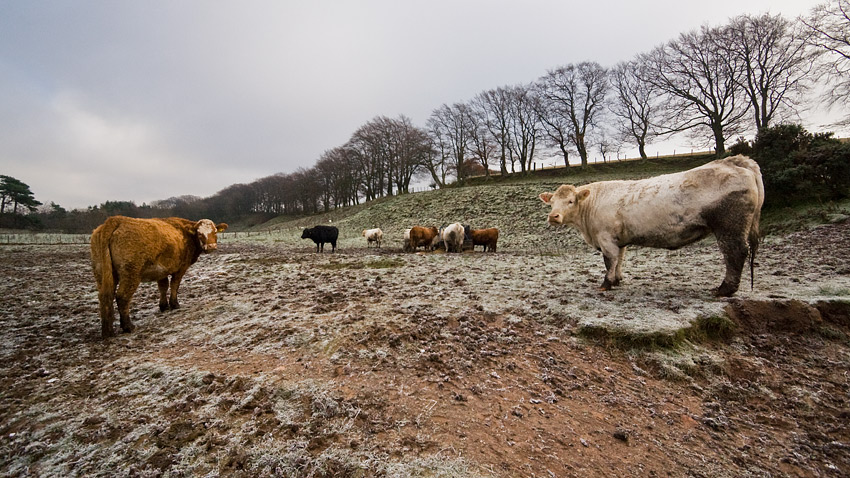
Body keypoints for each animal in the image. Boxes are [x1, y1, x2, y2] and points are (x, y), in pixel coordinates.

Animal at [89, 215, 225, 338]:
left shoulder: (161, 271)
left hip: (102, 273)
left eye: (215, 232)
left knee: (105, 296)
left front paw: (163, 306)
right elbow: (174, 285)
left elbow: (163, 287)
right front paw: (174, 304)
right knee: (122, 296)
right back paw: (128, 326)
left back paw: (107, 331)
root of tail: (116, 219)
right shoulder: (181, 268)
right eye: (200, 234)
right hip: (131, 273)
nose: (211, 246)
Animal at [540, 155, 764, 296]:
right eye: (552, 202)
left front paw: (606, 284)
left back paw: (724, 290)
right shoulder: (619, 240)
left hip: (730, 227)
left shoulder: (606, 239)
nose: (553, 216)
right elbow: (619, 260)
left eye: (570, 201)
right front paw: (618, 280)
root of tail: (734, 162)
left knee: (735, 253)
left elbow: (609, 261)